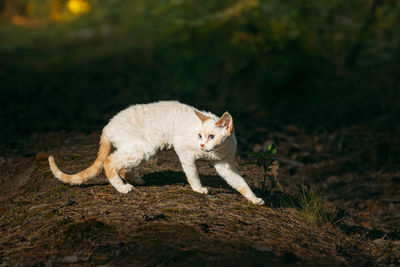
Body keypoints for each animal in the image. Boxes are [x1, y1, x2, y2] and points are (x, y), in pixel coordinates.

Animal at [48, 101, 264, 206]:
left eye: (211, 136)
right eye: (199, 135)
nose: (202, 145)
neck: (216, 152)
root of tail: (107, 126)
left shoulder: (225, 165)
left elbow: (241, 184)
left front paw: (255, 199)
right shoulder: (184, 152)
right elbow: (193, 175)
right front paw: (199, 189)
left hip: (140, 149)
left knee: (121, 166)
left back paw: (135, 180)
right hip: (143, 148)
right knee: (109, 162)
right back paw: (123, 188)